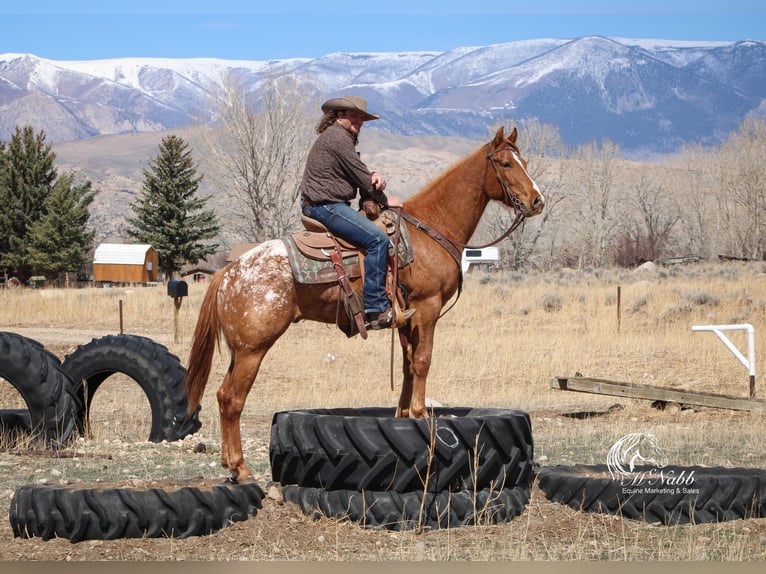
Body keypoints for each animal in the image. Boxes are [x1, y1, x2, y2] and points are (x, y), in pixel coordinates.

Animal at [185, 126, 544, 482]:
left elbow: (408, 364)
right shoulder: (427, 309)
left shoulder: (407, 317)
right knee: (234, 398)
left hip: (240, 348)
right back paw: (242, 469)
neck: (431, 229)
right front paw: (419, 414)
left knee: (222, 395)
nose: (536, 201)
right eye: (506, 164)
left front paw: (404, 414)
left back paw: (229, 464)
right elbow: (423, 361)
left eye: (524, 161)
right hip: (253, 348)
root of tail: (230, 271)